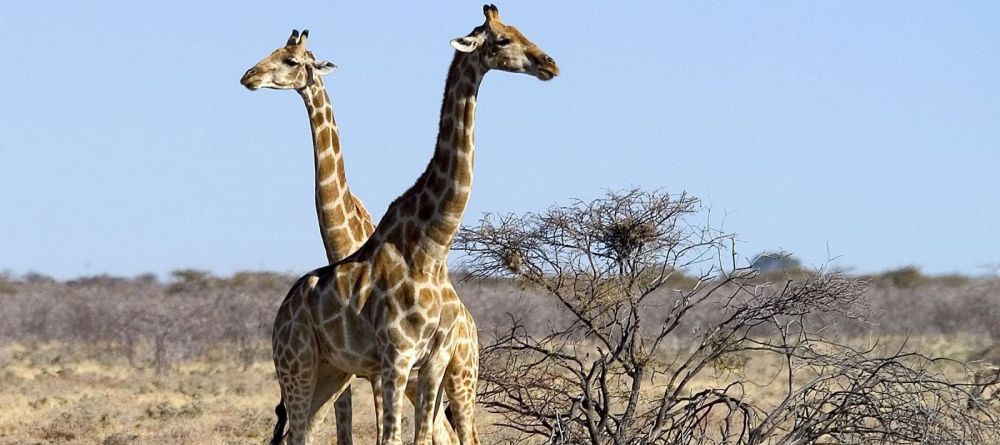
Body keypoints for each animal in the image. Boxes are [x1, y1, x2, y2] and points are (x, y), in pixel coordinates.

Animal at [242, 29, 476, 442]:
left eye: (290, 60)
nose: (249, 76)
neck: (344, 241)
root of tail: (472, 323)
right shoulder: (354, 369)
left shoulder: (376, 371)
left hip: (462, 373)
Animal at [266, 4, 560, 444]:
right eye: (503, 39)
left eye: (519, 30)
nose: (550, 64)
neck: (431, 246)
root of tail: (282, 311)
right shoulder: (394, 358)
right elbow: (388, 436)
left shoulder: (429, 360)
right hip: (300, 365)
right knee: (297, 431)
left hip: (392, 372)